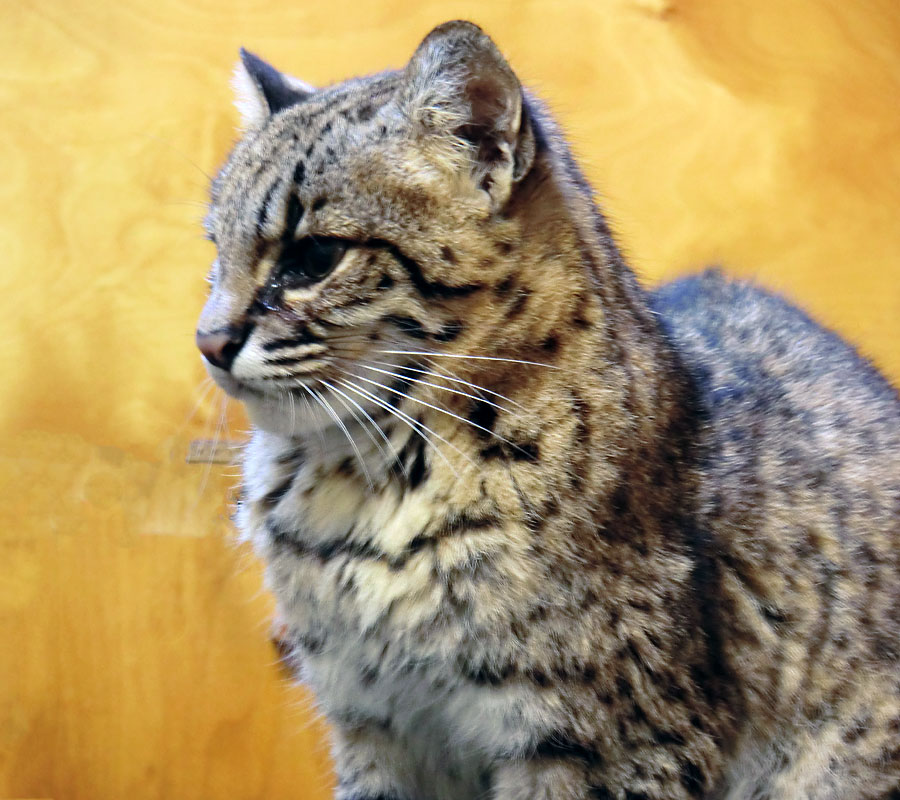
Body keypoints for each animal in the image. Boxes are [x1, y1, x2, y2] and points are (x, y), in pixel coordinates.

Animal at [197, 18, 900, 800]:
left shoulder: (607, 741)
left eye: (314, 257)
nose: (207, 341)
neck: (368, 481)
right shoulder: (373, 727)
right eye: (215, 252)